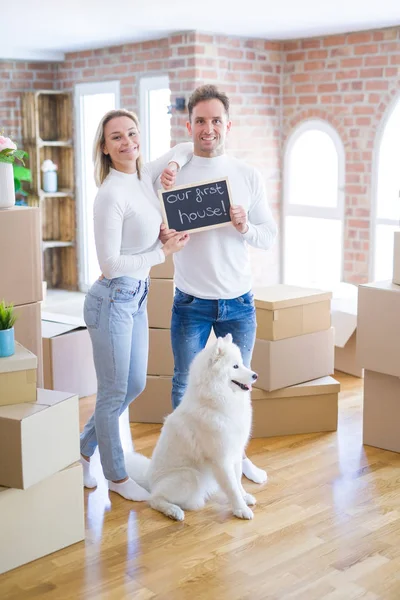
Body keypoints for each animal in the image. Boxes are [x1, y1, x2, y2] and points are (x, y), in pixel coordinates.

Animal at [126, 332, 260, 520]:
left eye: (241, 364)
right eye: (235, 366)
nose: (255, 375)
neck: (215, 399)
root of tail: (149, 478)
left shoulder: (235, 452)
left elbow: (238, 480)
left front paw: (244, 497)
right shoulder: (221, 459)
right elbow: (232, 487)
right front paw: (241, 509)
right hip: (189, 476)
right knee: (154, 499)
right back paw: (173, 511)